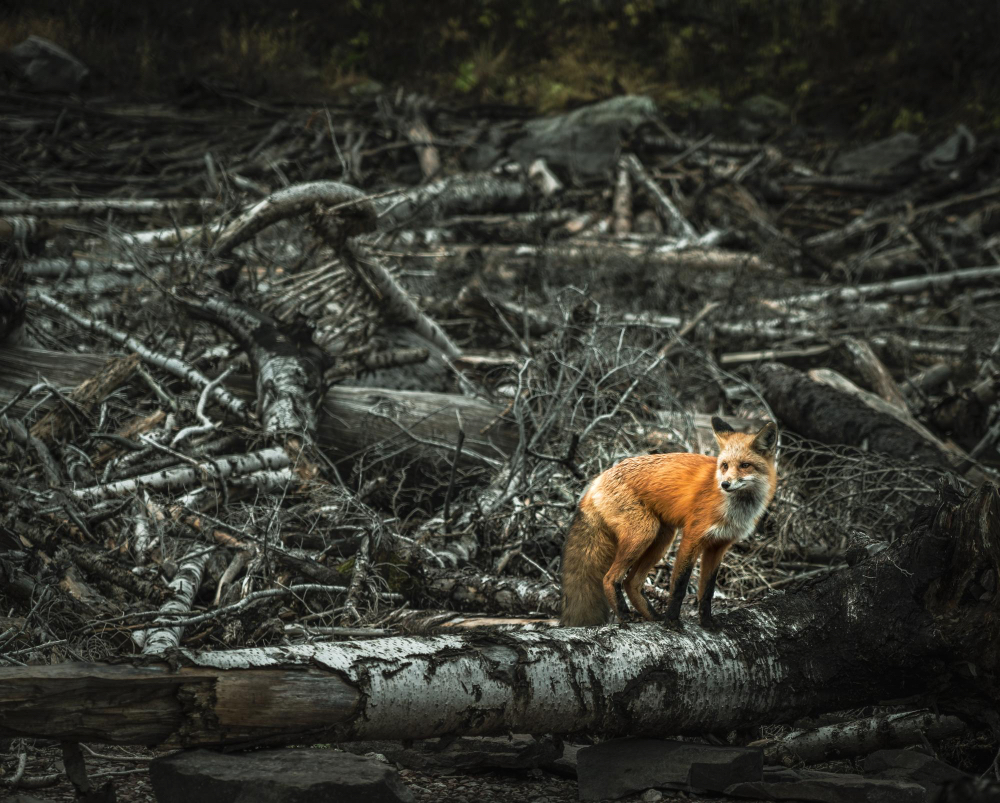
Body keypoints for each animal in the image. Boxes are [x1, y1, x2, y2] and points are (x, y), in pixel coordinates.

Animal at [560, 418, 776, 632]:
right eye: (724, 466)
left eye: (745, 465)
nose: (725, 484)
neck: (734, 507)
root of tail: (596, 480)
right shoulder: (692, 537)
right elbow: (679, 585)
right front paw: (672, 621)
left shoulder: (718, 546)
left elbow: (707, 591)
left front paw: (707, 622)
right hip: (644, 533)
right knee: (610, 578)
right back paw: (625, 616)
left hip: (662, 538)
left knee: (631, 582)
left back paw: (653, 616)